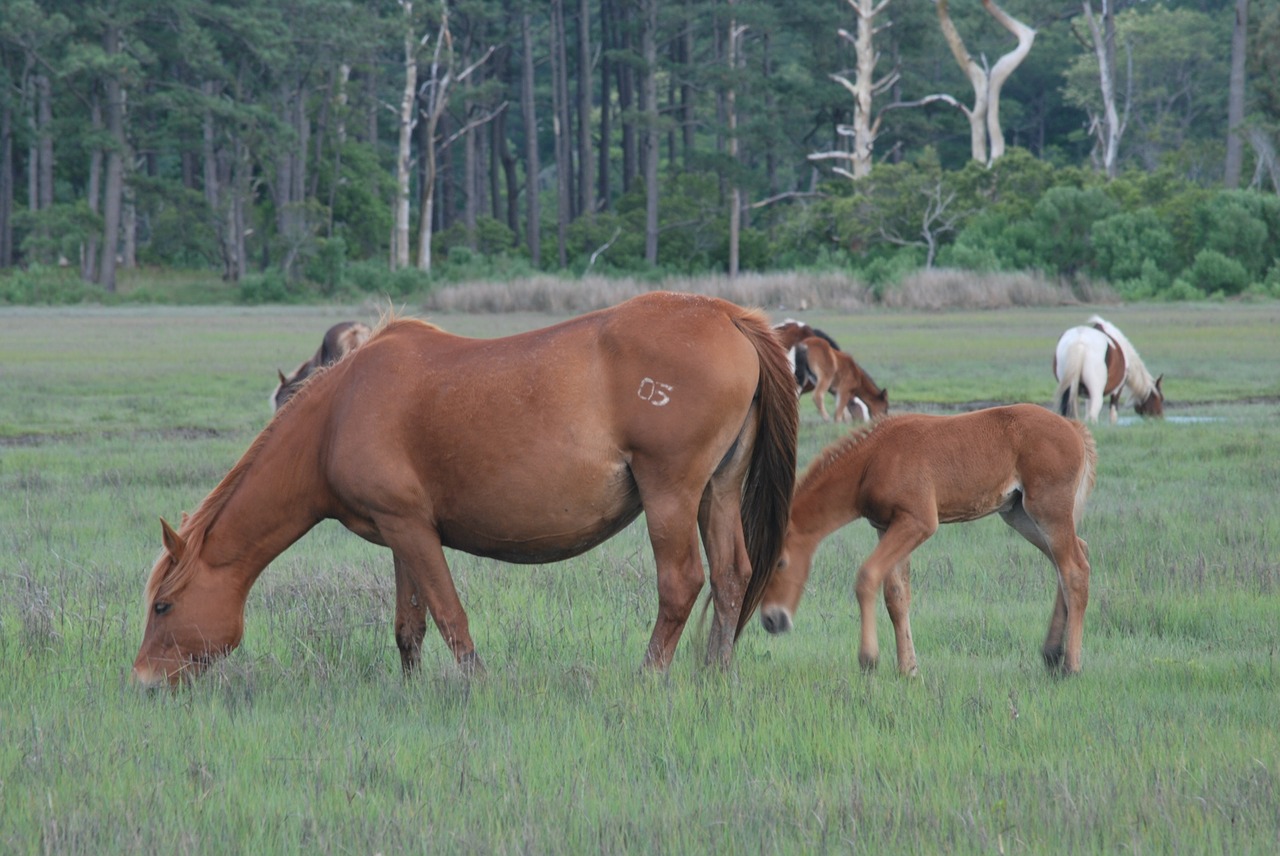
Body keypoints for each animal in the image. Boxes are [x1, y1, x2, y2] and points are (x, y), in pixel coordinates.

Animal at [129, 294, 793, 685]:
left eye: (163, 606)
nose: (142, 679)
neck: (339, 413)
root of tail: (725, 314)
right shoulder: (401, 532)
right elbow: (409, 626)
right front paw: (409, 692)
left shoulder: (412, 531)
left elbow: (450, 617)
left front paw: (475, 689)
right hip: (716, 493)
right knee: (732, 576)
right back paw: (716, 675)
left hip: (671, 495)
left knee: (681, 584)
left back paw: (649, 678)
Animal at [757, 401, 1100, 675]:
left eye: (781, 563)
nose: (771, 620)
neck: (873, 459)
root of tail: (1073, 427)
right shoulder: (887, 526)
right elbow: (896, 596)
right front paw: (908, 669)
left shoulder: (918, 522)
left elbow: (867, 575)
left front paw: (869, 658)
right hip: (1019, 514)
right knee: (1072, 556)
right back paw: (1051, 653)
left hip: (1047, 509)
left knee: (1074, 569)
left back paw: (1071, 665)